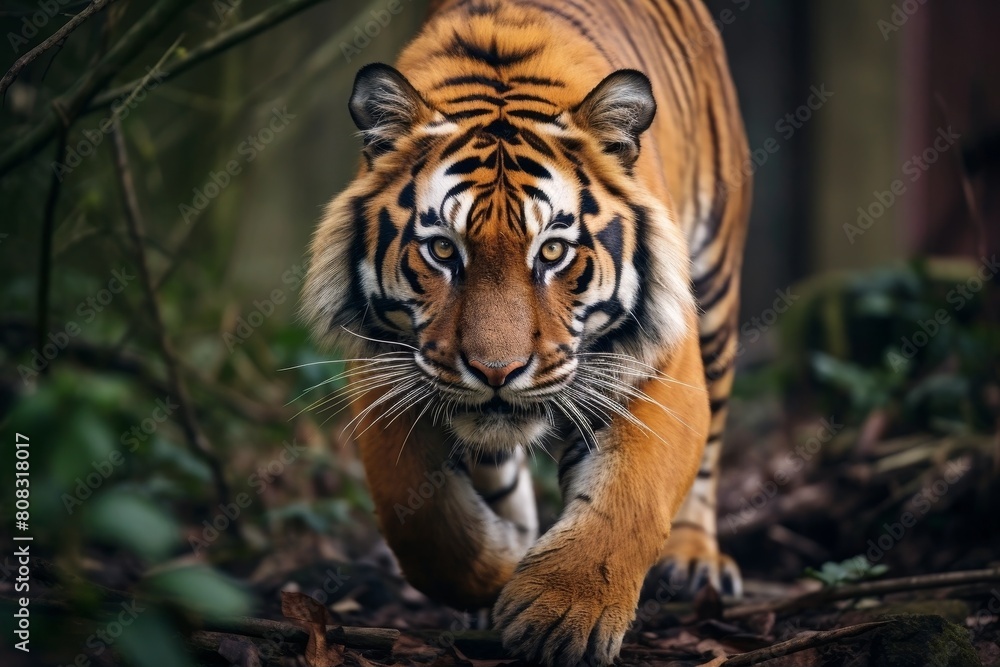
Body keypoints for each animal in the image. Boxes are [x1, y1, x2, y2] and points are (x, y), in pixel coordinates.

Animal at [302, 0, 750, 664]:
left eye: (554, 251)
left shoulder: (664, 362)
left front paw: (560, 617)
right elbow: (420, 523)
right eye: (442, 250)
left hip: (716, 286)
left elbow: (630, 500)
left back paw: (696, 559)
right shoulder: (385, 366)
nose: (497, 372)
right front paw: (501, 573)